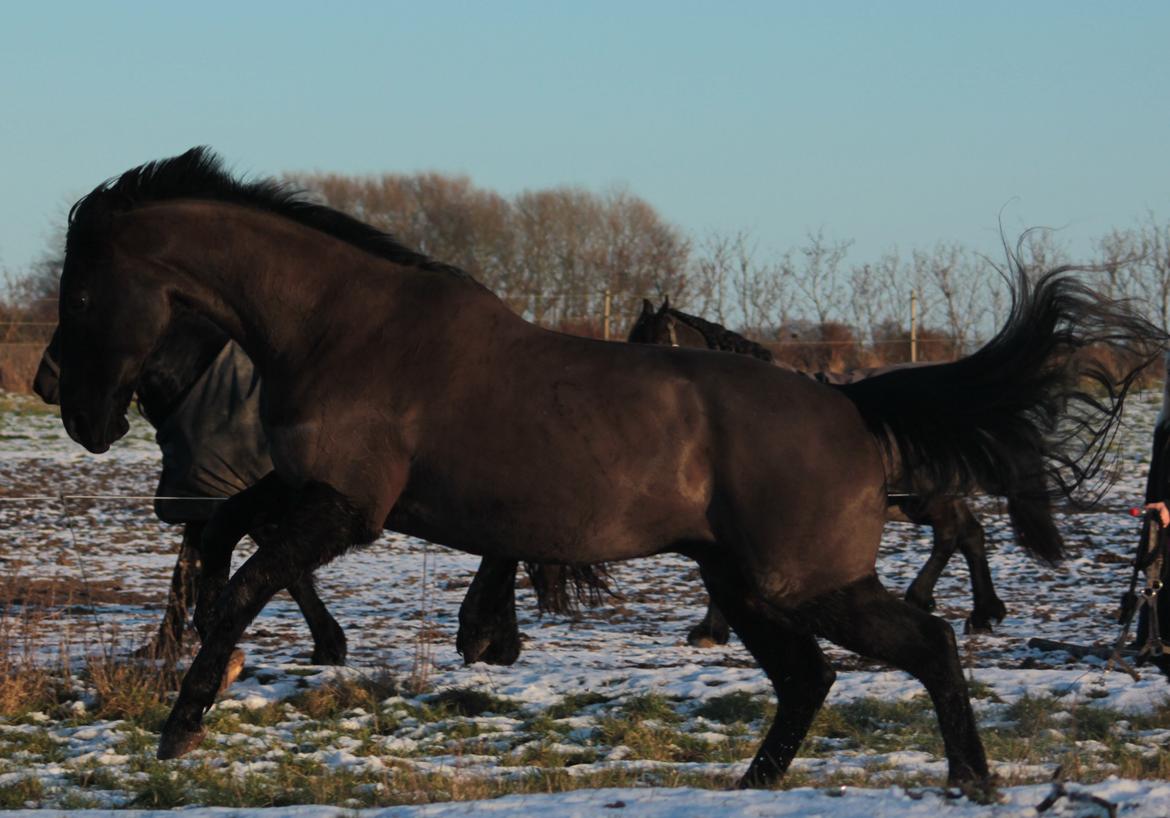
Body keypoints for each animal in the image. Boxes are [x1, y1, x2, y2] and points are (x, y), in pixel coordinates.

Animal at [50, 148, 1155, 795]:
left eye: (84, 289)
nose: (75, 412)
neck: (342, 327)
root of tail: (850, 404)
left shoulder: (349, 507)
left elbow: (244, 586)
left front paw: (183, 728)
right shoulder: (309, 490)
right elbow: (223, 539)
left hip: (802, 580)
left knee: (923, 641)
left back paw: (970, 779)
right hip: (743, 586)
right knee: (811, 676)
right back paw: (755, 787)